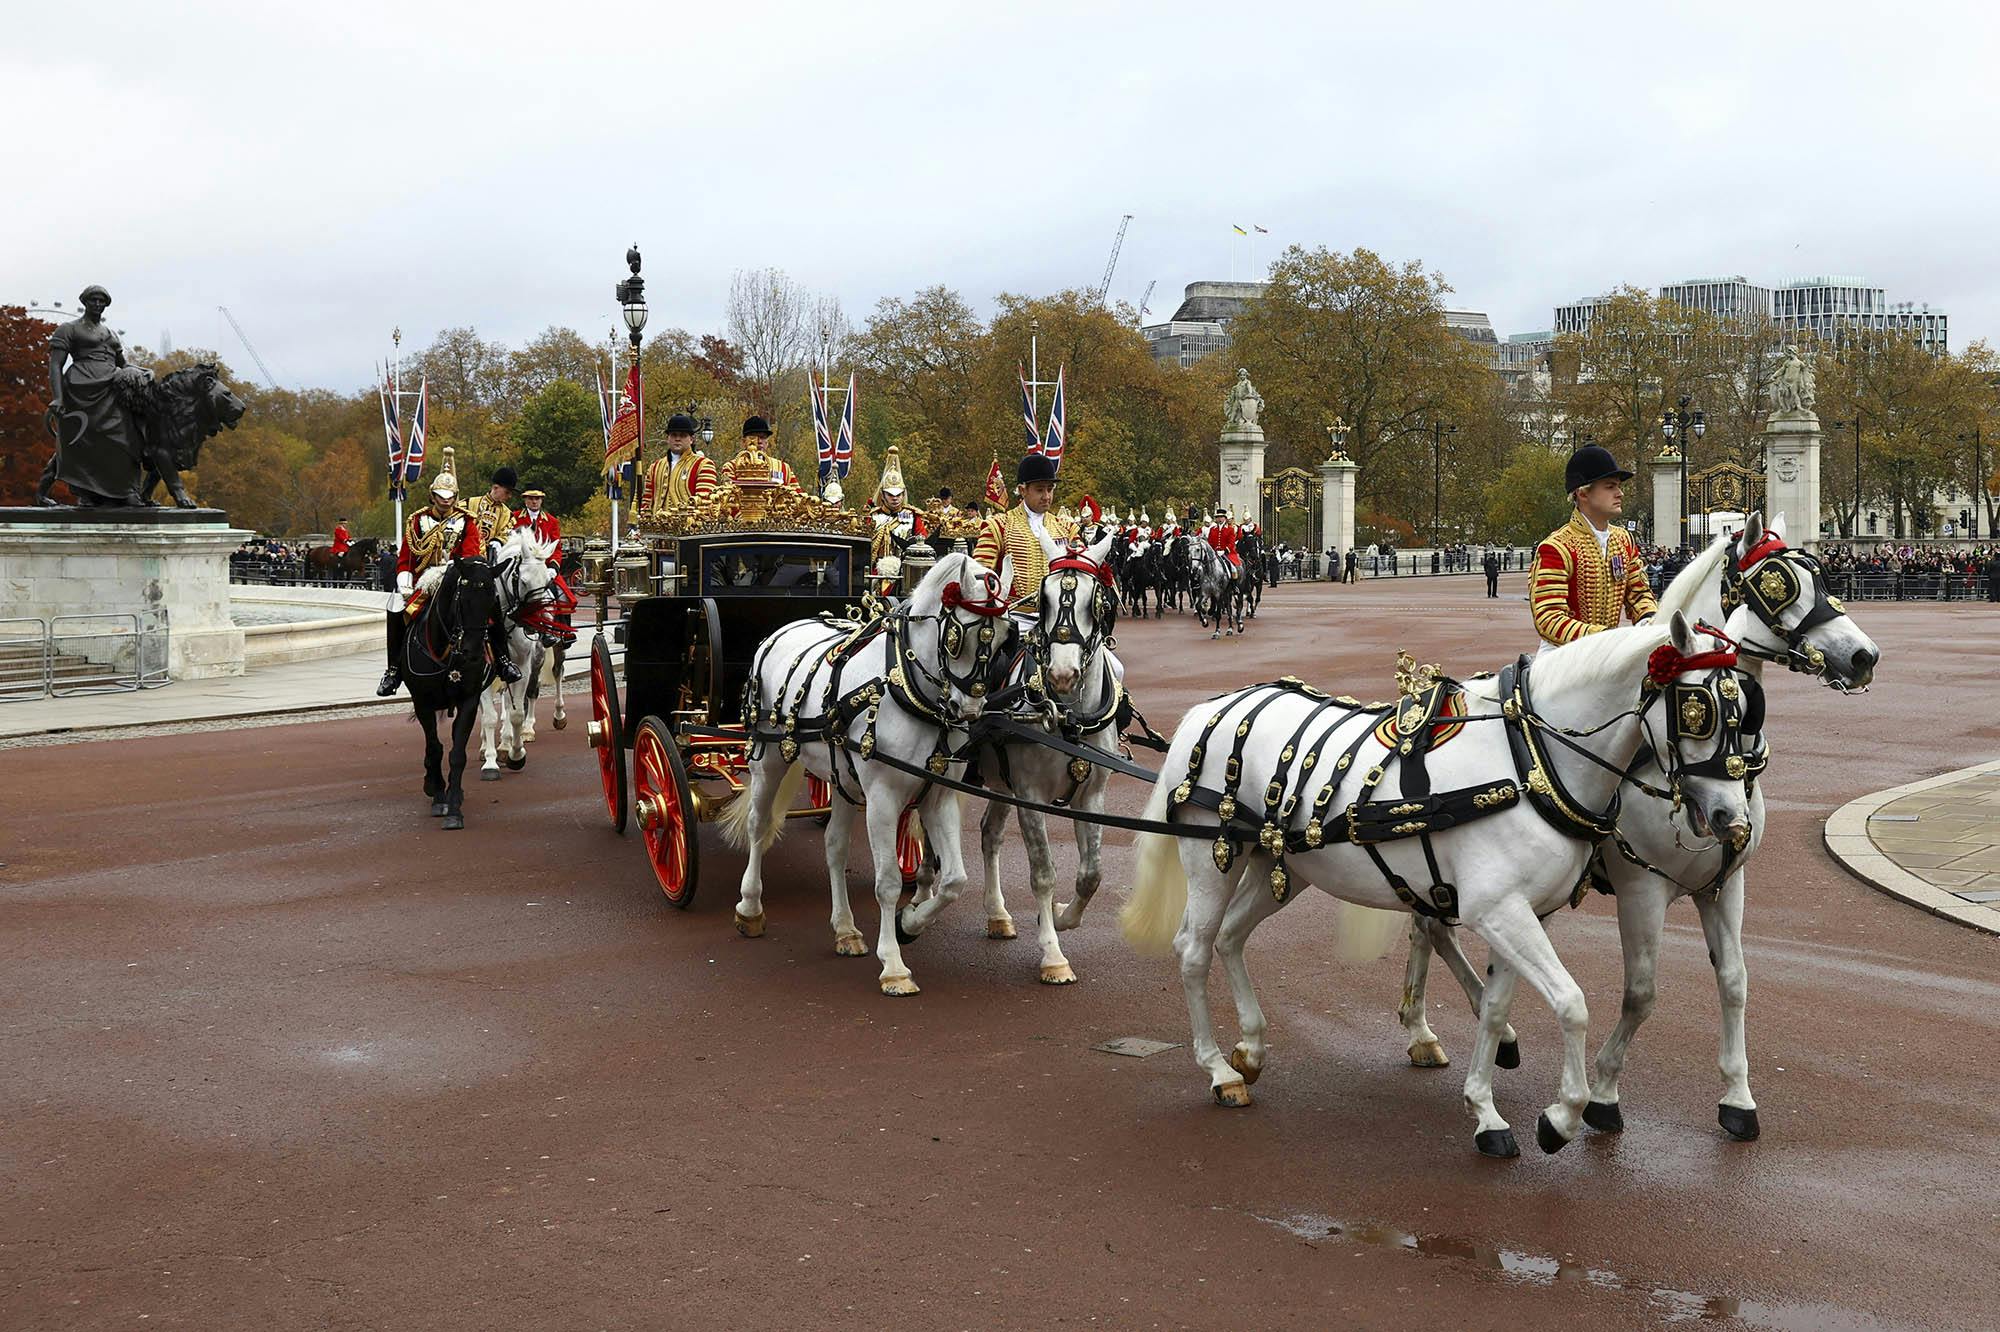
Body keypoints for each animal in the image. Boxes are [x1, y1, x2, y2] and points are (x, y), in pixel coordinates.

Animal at [724, 548, 1016, 996]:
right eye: (958, 635)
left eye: (1003, 635)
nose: (968, 711)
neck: (907, 688)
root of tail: (782, 629)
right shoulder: (882, 798)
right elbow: (889, 881)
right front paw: (894, 964)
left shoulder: (937, 796)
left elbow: (954, 880)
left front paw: (909, 924)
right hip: (769, 759)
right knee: (759, 826)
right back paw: (750, 907)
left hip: (843, 780)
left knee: (834, 846)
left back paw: (845, 929)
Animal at [980, 524, 1136, 980]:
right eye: (1045, 599)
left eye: (1095, 600)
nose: (1063, 675)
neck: (1069, 717)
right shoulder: (1030, 795)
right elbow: (1043, 873)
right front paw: (1052, 954)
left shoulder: (1092, 795)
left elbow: (1091, 874)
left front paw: (1064, 917)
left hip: (1000, 784)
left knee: (989, 834)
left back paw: (998, 915)